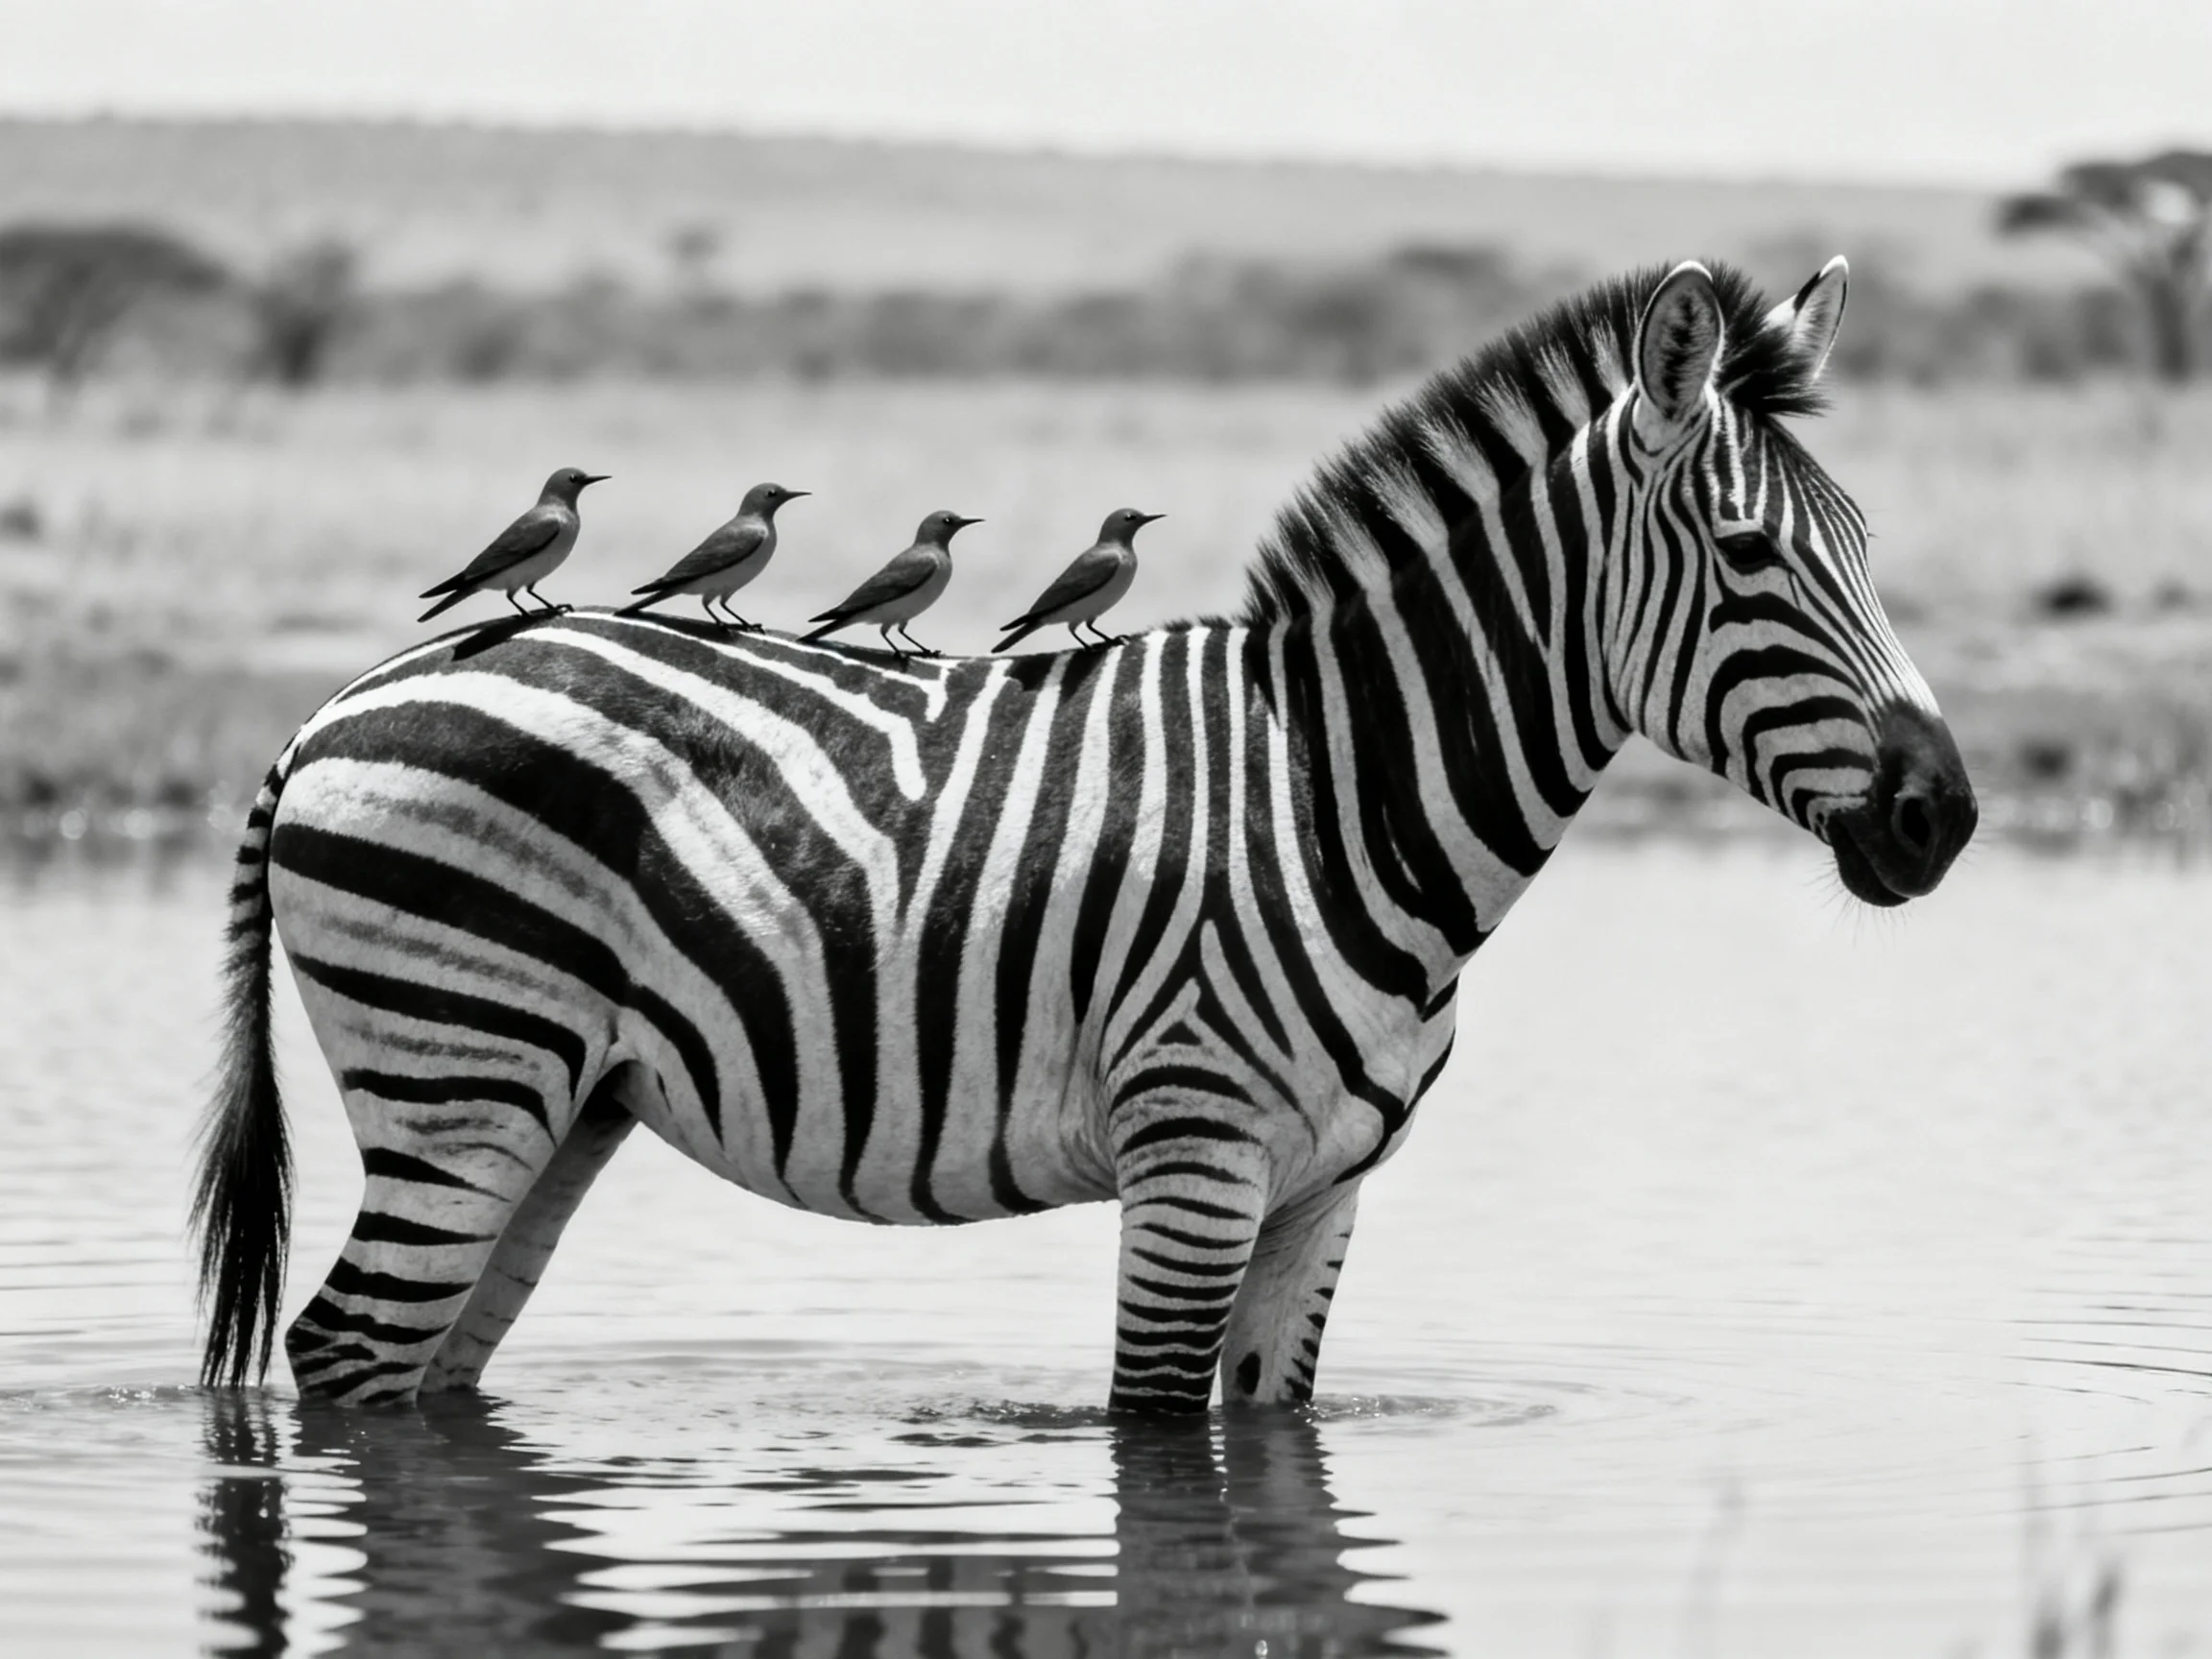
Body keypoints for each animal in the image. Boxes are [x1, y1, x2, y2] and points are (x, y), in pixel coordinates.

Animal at [193, 257, 1976, 1411]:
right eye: (1749, 558)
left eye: (1867, 540)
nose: (1940, 814)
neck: (1343, 797)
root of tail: (335, 707)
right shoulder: (1194, 1159)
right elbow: (1161, 1453)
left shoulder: (1325, 1194)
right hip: (461, 1063)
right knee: (342, 1353)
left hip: (558, 1104)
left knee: (413, 1374)